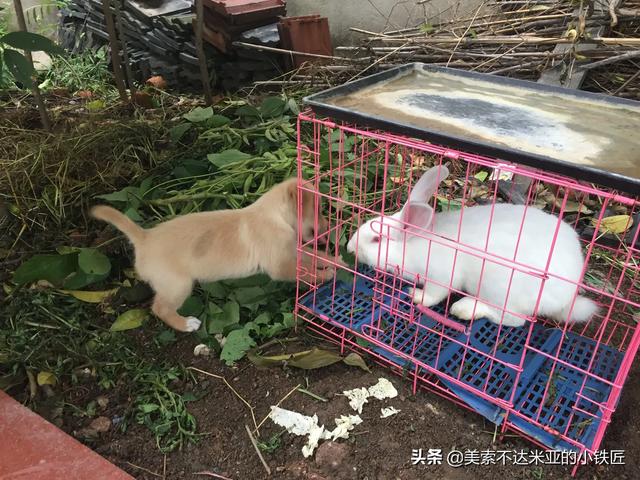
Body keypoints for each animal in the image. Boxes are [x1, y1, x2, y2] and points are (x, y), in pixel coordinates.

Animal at [91, 178, 339, 332]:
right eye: (319, 210)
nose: (330, 227)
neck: (274, 214)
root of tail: (144, 237)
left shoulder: (292, 249)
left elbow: (313, 256)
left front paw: (335, 261)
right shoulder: (280, 265)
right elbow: (305, 272)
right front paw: (325, 276)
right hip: (178, 285)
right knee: (160, 308)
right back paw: (186, 324)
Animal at [346, 165, 599, 328]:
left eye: (376, 240)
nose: (350, 248)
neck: (417, 240)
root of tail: (568, 296)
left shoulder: (442, 275)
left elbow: (434, 295)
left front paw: (415, 295)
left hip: (498, 289)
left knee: (513, 319)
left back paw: (464, 309)